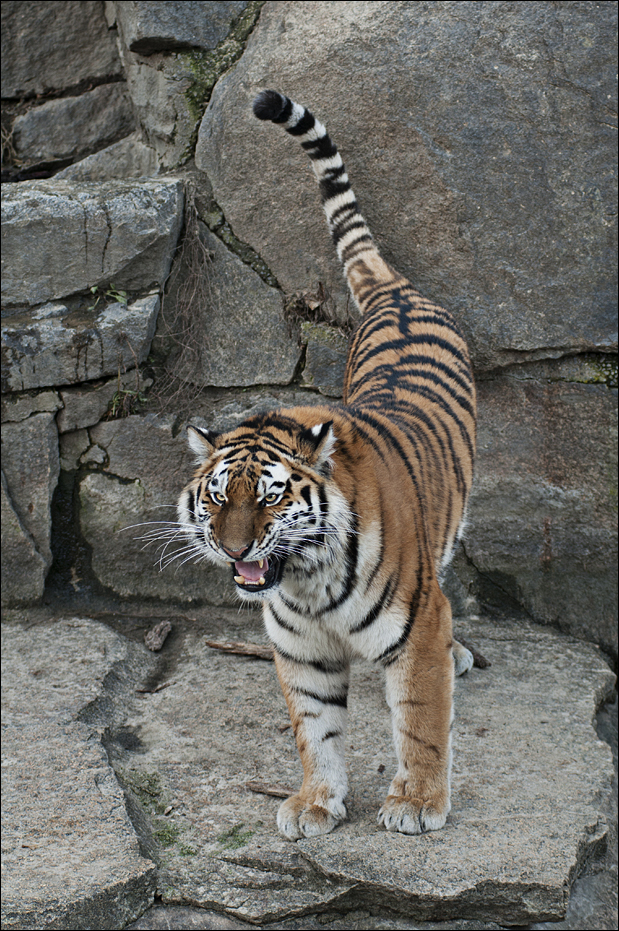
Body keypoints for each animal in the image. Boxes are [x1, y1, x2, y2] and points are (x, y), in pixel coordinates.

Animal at [177, 90, 476, 841]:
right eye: (217, 498)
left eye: (271, 497)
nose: (236, 549)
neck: (306, 578)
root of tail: (395, 292)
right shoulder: (300, 647)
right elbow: (315, 728)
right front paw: (316, 800)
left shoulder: (417, 628)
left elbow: (421, 720)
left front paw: (417, 801)